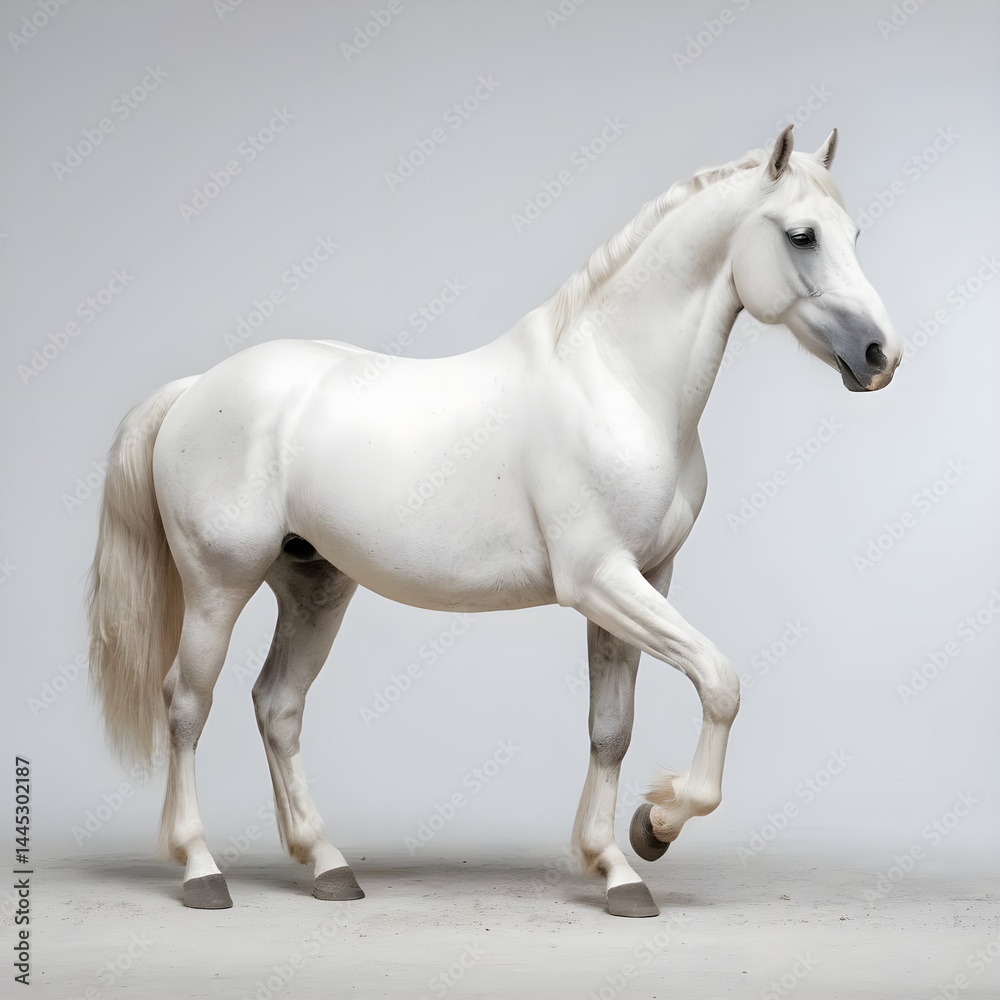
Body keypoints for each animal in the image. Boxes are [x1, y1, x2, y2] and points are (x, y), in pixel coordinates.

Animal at [87, 124, 899, 918]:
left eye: (854, 233)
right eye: (801, 235)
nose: (880, 355)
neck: (618, 384)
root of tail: (197, 388)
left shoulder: (644, 580)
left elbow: (612, 730)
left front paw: (616, 869)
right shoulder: (600, 581)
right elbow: (720, 682)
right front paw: (657, 825)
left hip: (315, 586)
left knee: (278, 707)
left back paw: (327, 865)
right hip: (218, 586)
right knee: (186, 705)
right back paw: (202, 871)